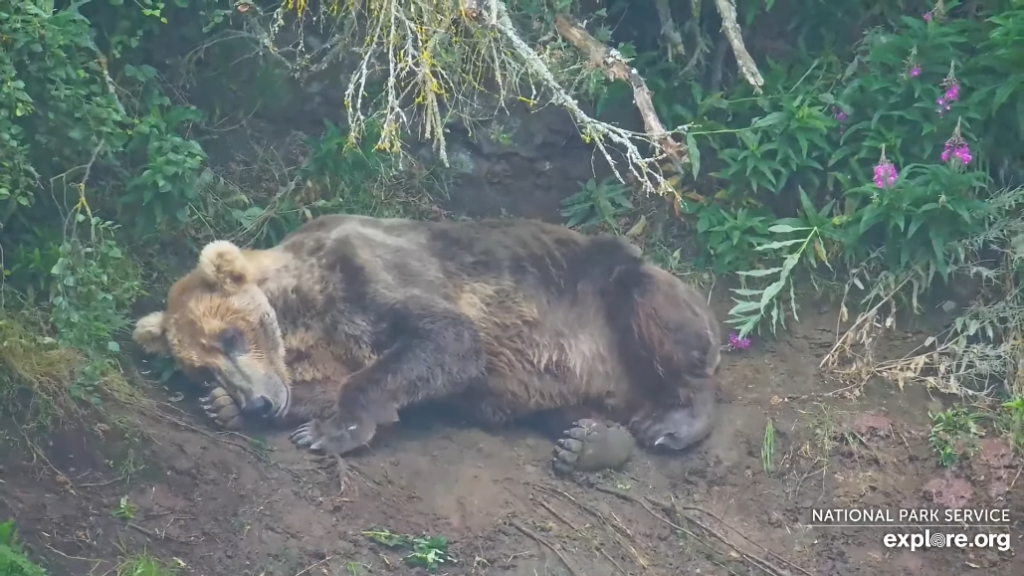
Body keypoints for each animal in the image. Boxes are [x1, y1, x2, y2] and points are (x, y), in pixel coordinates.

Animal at [132, 213, 716, 473]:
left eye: (230, 335)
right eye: (202, 367)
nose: (255, 401)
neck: (301, 316)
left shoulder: (371, 278)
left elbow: (444, 341)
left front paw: (328, 431)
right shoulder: (328, 345)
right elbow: (332, 380)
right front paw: (227, 406)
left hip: (608, 293)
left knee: (664, 319)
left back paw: (672, 420)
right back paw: (590, 441)